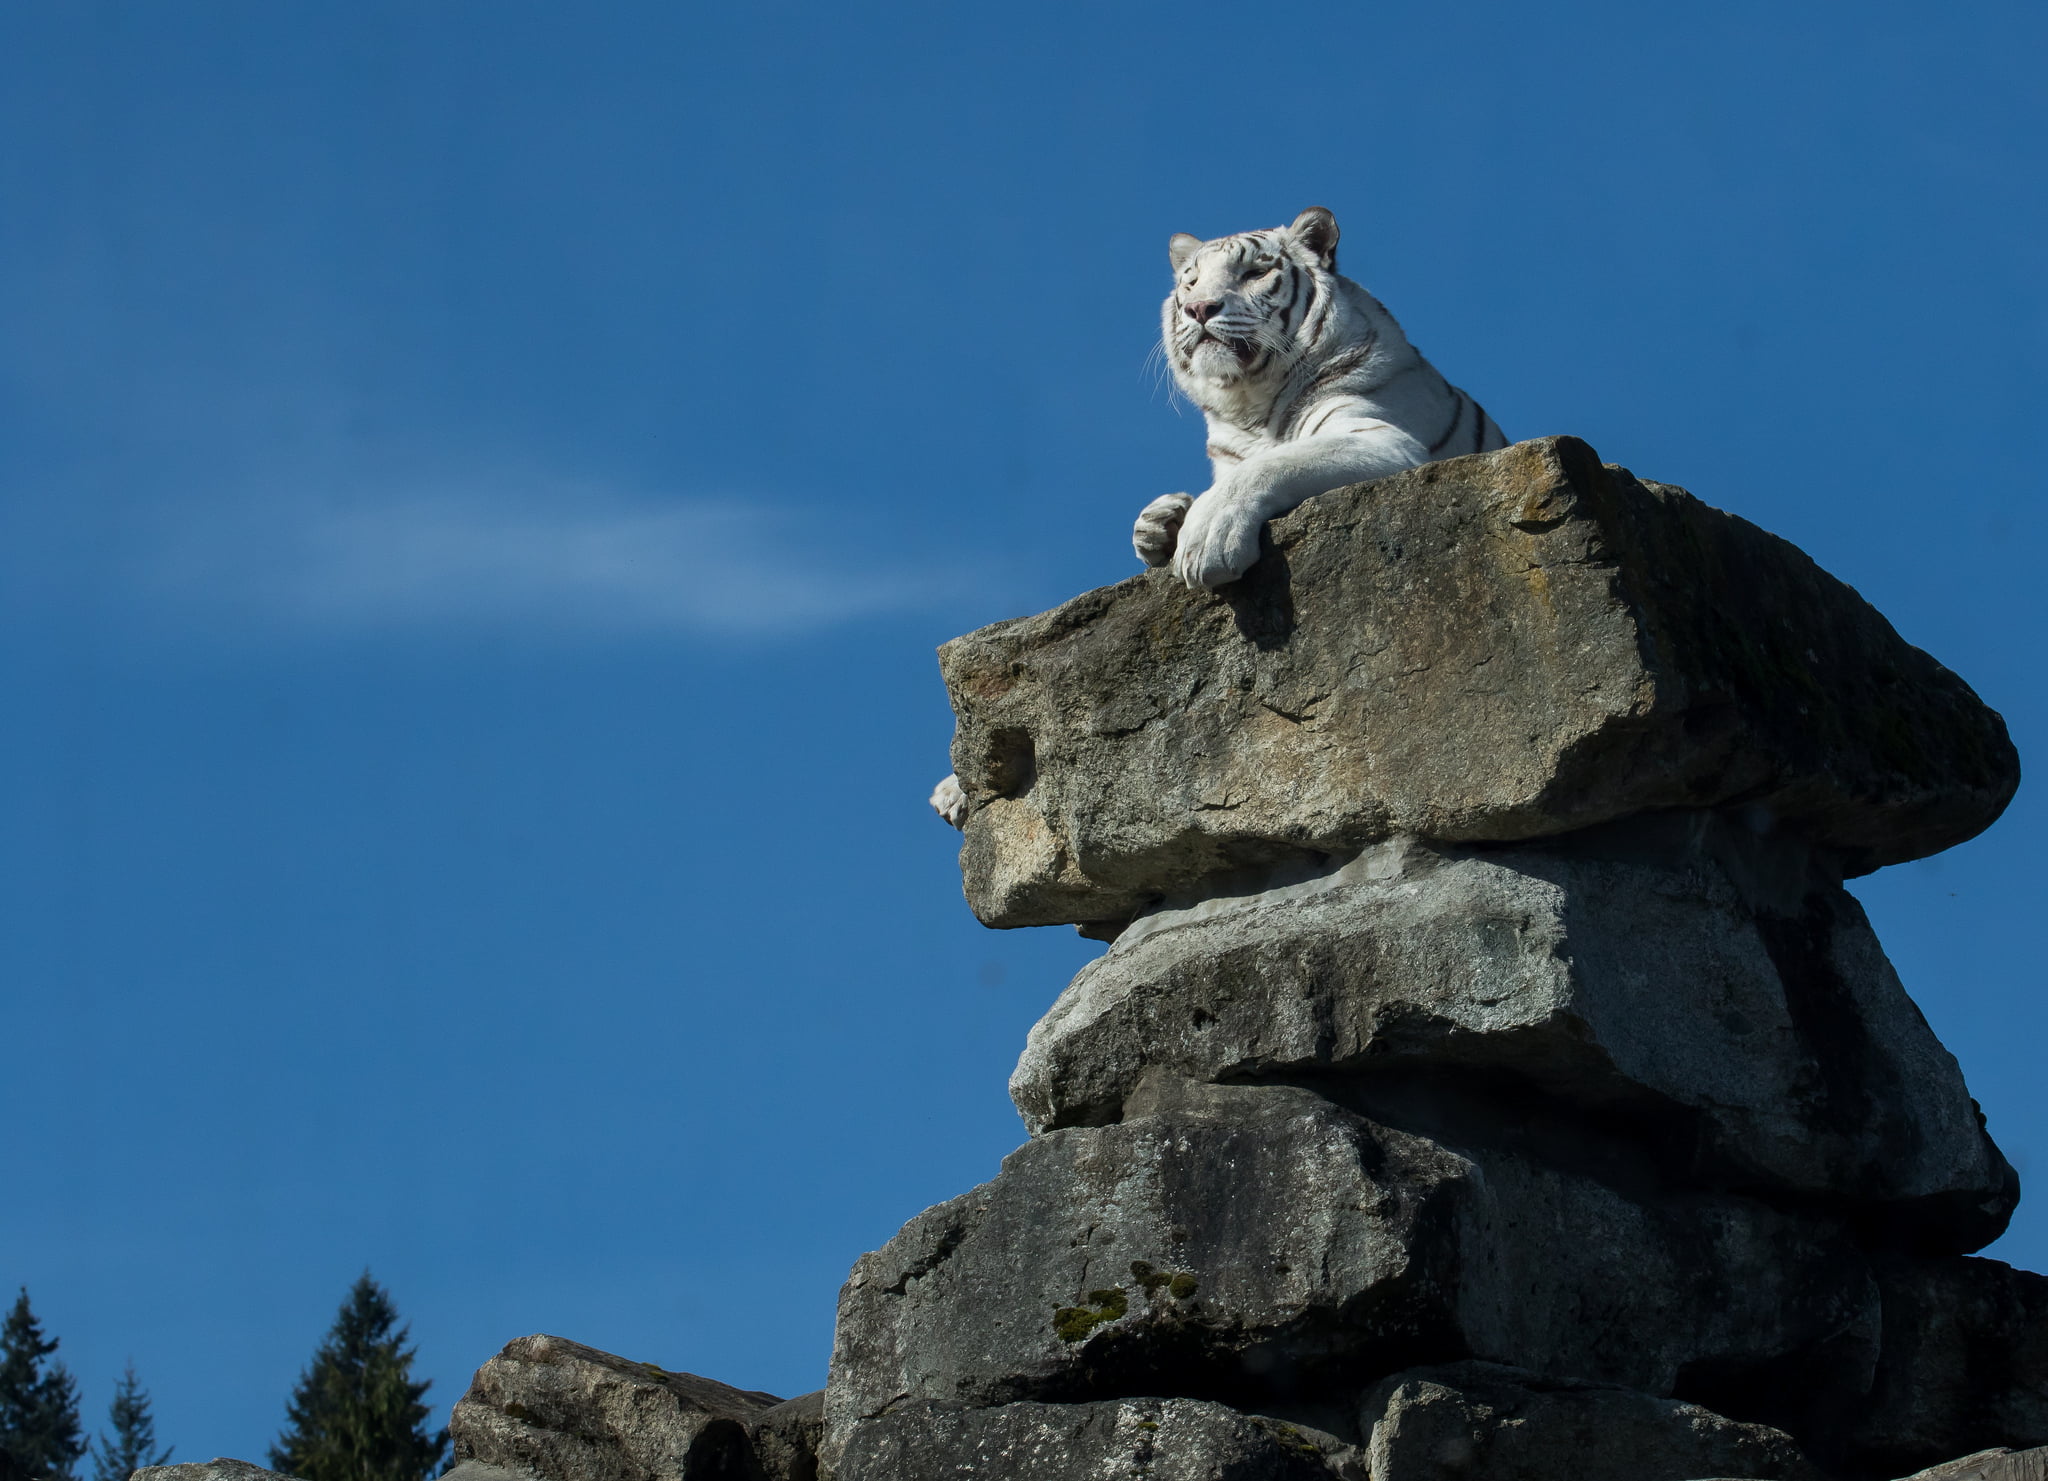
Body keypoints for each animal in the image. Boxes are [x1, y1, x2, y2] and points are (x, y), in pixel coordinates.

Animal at [1138, 205, 1507, 589]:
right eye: (1192, 282)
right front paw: (1159, 519)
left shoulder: (1385, 441)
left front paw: (1207, 537)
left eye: (1255, 272)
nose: (1198, 308)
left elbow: (1270, 464)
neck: (1249, 406)